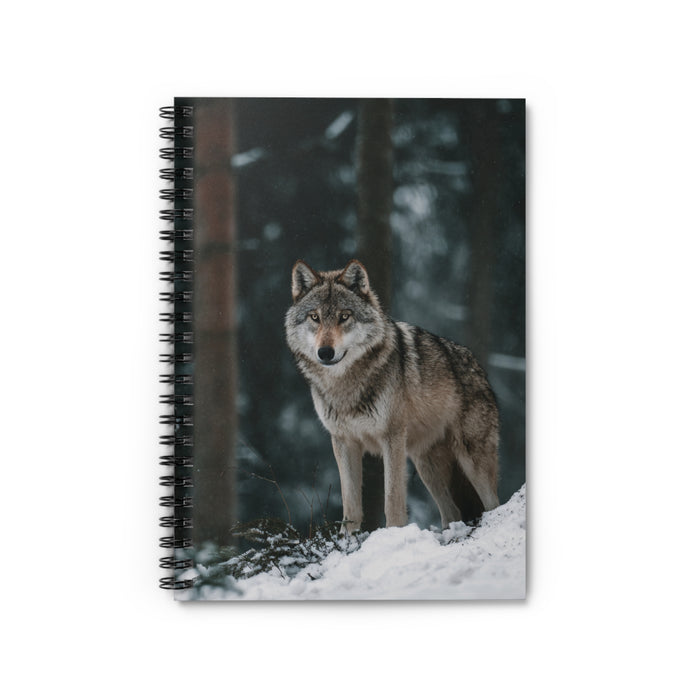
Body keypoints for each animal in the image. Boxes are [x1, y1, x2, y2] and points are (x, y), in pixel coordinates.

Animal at [285, 259, 499, 533]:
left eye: (344, 316)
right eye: (315, 317)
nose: (325, 352)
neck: (345, 386)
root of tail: (479, 367)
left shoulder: (392, 437)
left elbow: (393, 501)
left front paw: (393, 534)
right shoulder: (343, 441)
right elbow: (350, 506)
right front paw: (347, 540)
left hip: (472, 459)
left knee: (493, 504)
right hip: (426, 464)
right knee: (452, 512)